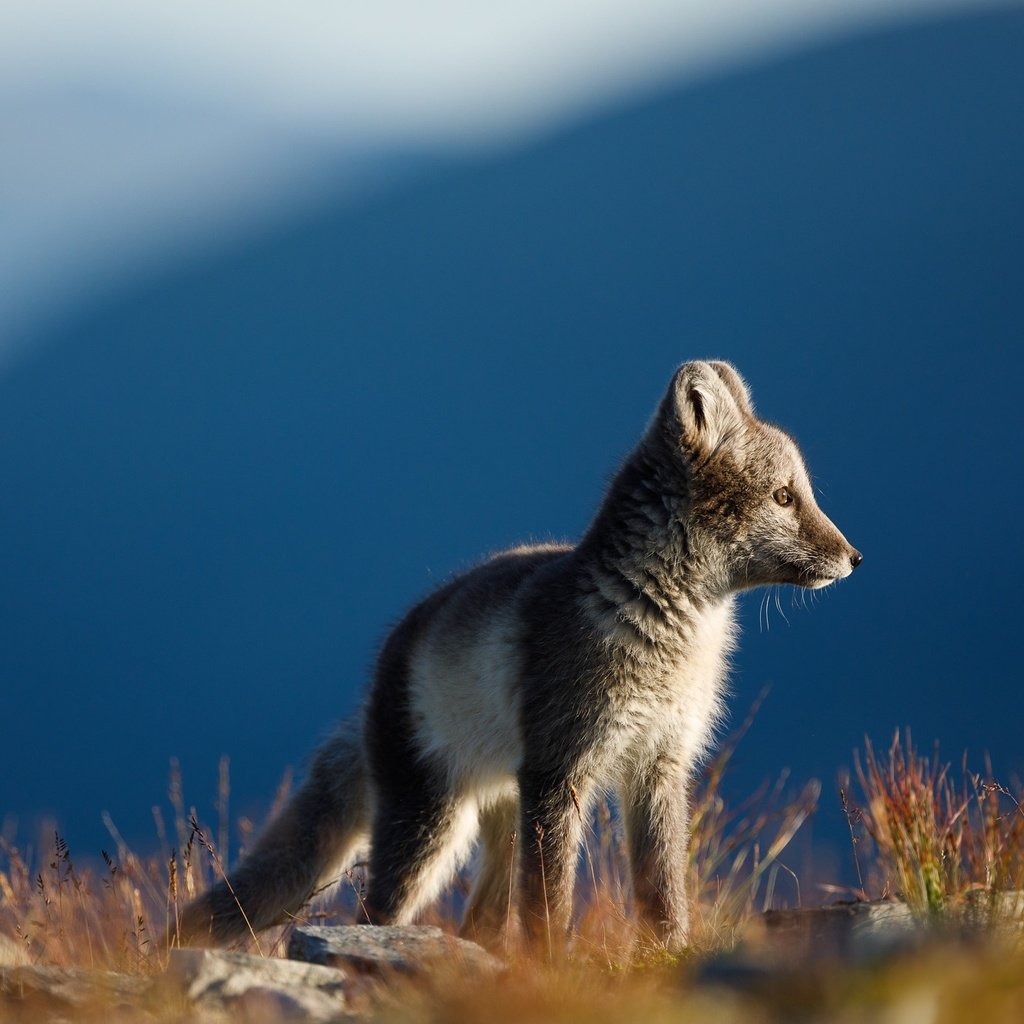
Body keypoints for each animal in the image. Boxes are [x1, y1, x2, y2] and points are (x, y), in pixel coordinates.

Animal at [178, 360, 864, 950]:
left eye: (800, 493)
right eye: (783, 498)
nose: (856, 557)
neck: (655, 623)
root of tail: (383, 666)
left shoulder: (659, 765)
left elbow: (663, 890)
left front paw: (669, 954)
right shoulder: (561, 770)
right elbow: (549, 906)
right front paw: (553, 969)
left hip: (503, 816)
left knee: (480, 922)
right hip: (433, 827)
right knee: (376, 914)